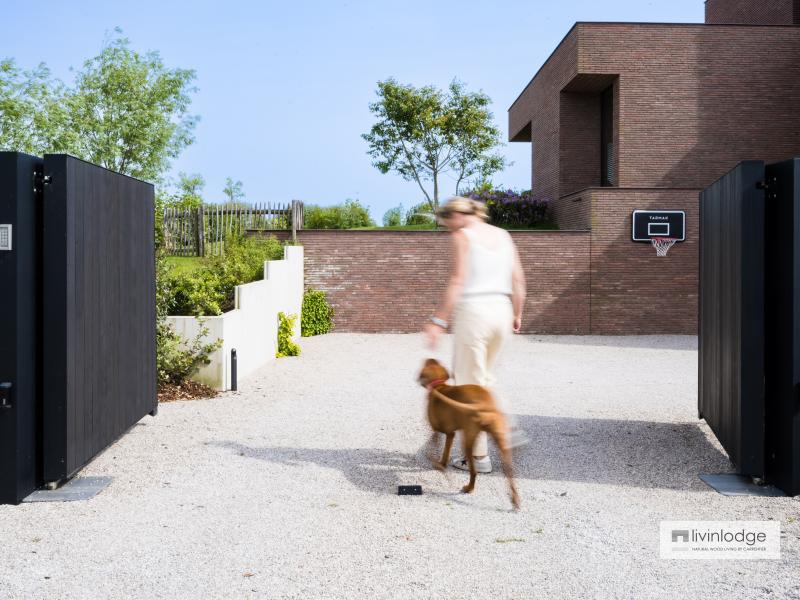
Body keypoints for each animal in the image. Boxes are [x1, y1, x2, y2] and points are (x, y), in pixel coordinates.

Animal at [416, 358, 520, 508]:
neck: (439, 386)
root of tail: (483, 405)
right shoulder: (450, 434)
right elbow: (445, 452)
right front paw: (442, 464)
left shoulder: (436, 431)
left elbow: (431, 451)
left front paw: (437, 465)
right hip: (500, 441)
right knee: (509, 472)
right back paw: (515, 500)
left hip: (468, 441)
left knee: (474, 472)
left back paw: (469, 488)